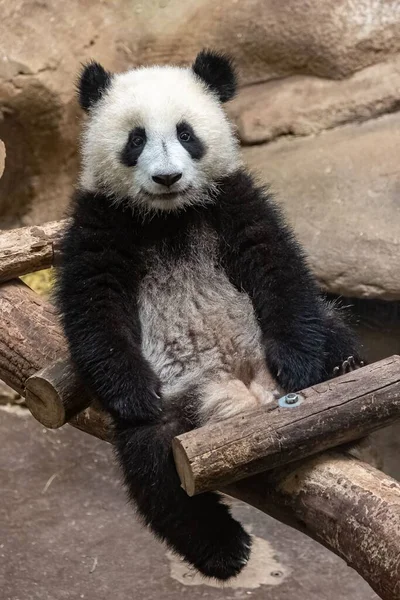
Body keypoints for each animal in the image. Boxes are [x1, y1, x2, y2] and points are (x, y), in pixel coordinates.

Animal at [54, 50, 364, 580]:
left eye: (186, 133)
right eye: (135, 139)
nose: (166, 178)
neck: (169, 216)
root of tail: (245, 396)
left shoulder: (234, 200)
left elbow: (278, 269)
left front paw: (301, 365)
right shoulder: (100, 220)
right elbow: (94, 308)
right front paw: (133, 392)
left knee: (329, 324)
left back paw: (344, 371)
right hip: (178, 405)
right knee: (157, 468)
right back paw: (225, 550)